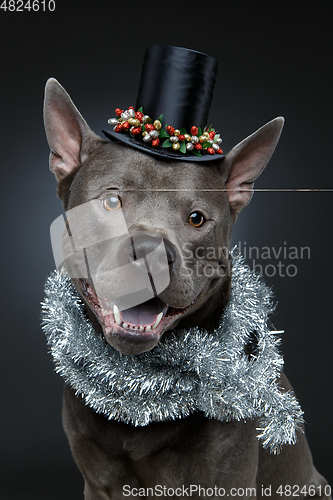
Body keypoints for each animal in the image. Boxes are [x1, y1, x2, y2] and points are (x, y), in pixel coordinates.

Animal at [42, 72, 328, 498]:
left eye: (196, 218)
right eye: (111, 202)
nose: (150, 252)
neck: (138, 387)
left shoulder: (226, 482)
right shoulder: (96, 484)